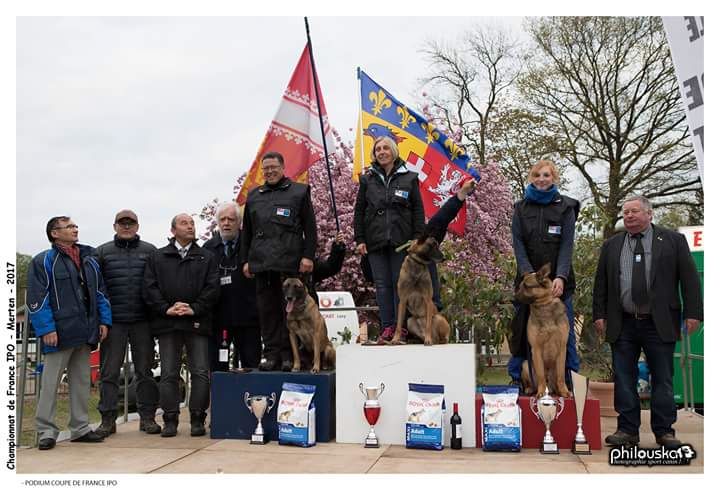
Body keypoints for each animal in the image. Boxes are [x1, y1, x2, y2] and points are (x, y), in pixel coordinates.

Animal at [516, 264, 572, 398]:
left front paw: (564, 391)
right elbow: (540, 375)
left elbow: (561, 376)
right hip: (526, 364)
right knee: (533, 382)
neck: (544, 305)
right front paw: (541, 392)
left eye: (526, 286)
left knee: (556, 379)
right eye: (520, 285)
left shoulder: (562, 348)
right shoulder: (536, 348)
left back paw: (557, 390)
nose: (514, 296)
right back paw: (531, 389)